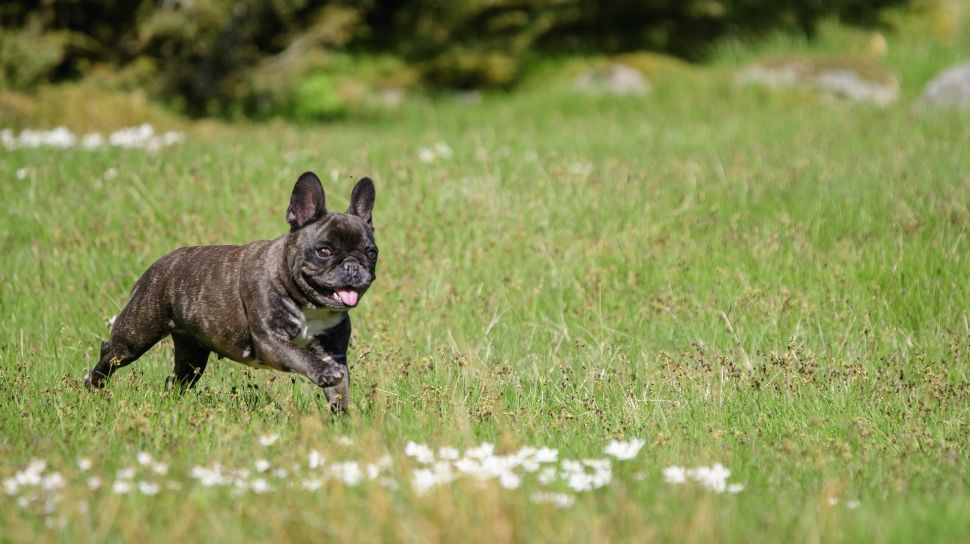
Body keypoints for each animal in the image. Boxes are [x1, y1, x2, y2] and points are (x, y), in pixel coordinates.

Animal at [85, 171, 376, 412]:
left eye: (371, 252)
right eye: (323, 251)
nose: (352, 265)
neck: (309, 305)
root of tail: (160, 263)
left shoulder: (334, 353)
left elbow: (340, 391)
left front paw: (343, 420)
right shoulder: (271, 341)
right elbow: (301, 355)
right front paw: (324, 374)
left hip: (192, 356)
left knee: (177, 380)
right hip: (136, 334)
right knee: (111, 352)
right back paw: (93, 384)